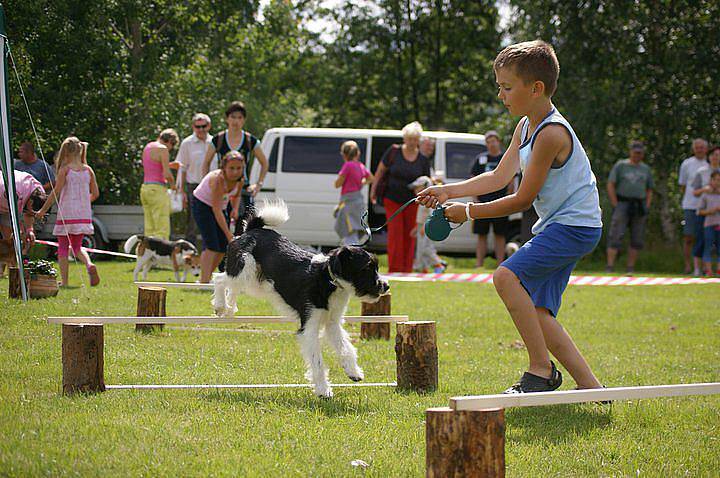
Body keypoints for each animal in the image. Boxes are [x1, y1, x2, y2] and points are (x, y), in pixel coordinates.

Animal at [214, 200, 388, 398]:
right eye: (366, 268)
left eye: (376, 268)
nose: (385, 286)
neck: (328, 280)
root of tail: (252, 230)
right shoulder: (309, 328)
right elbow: (317, 361)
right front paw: (323, 390)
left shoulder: (332, 323)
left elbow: (346, 348)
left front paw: (353, 372)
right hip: (245, 270)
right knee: (219, 279)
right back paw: (220, 306)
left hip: (254, 282)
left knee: (232, 288)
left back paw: (229, 309)